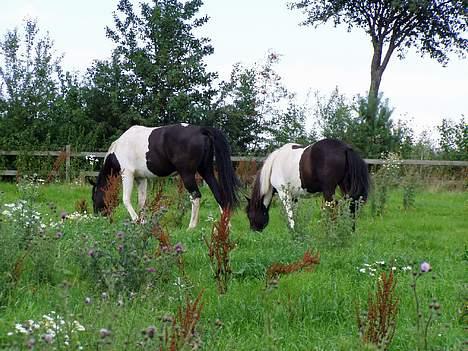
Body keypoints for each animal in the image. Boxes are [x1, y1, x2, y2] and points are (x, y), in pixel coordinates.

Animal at [89, 124, 239, 228]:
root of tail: (200, 130)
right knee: (218, 194)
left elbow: (126, 199)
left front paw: (136, 220)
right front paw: (142, 221)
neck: (119, 149)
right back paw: (226, 225)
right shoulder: (141, 178)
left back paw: (191, 227)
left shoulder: (127, 174)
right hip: (206, 171)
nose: (98, 216)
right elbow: (142, 201)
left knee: (196, 196)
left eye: (93, 197)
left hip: (188, 174)